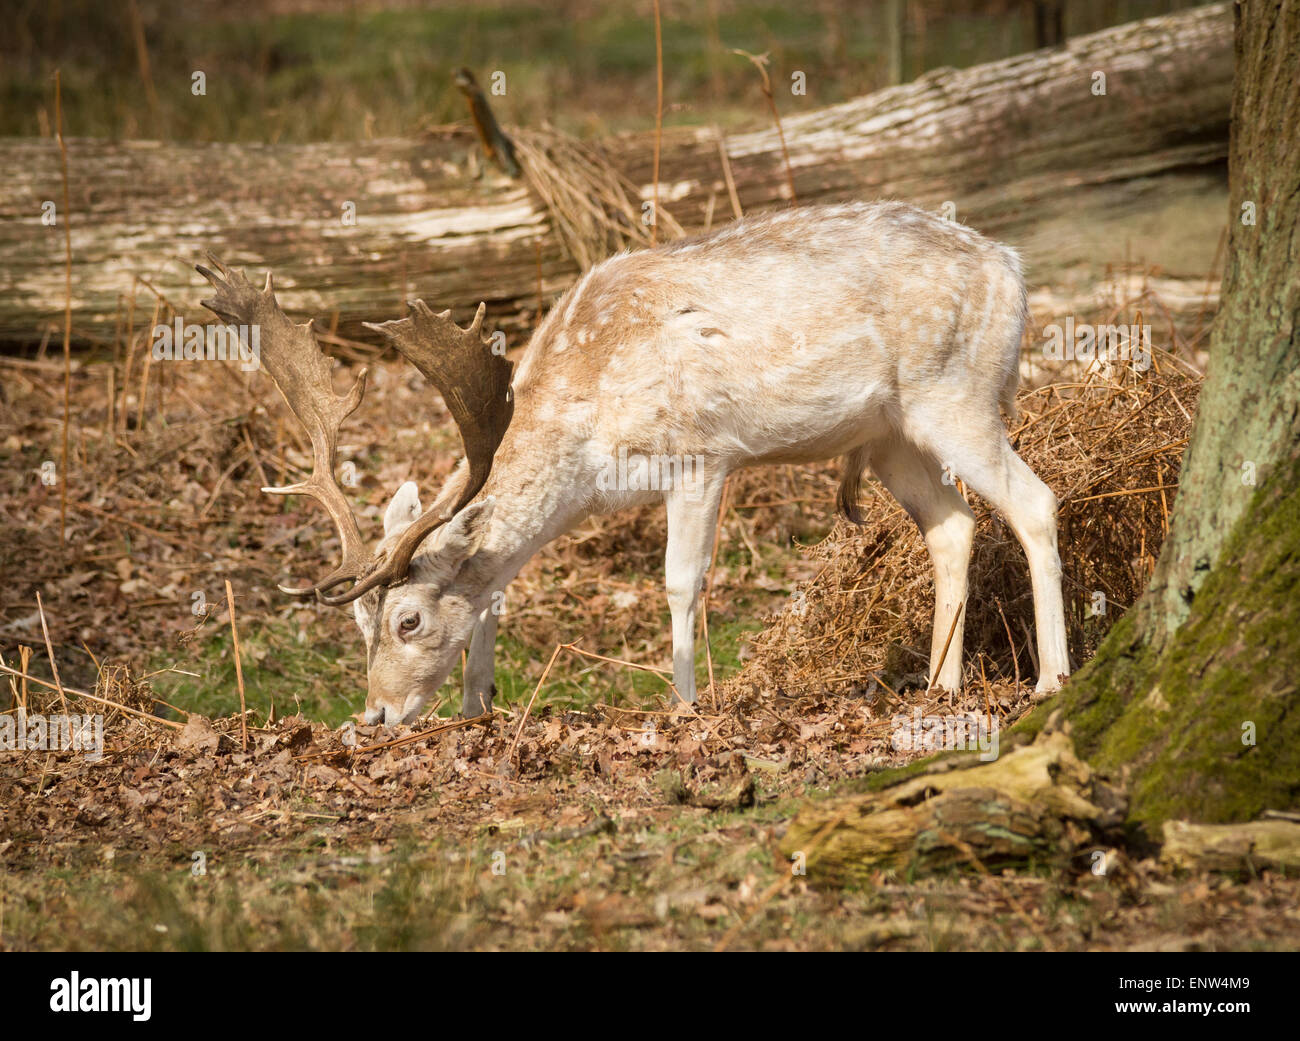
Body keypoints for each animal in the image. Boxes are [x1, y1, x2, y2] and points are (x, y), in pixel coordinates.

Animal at [197, 201, 1070, 726]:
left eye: (407, 619)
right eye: (359, 622)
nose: (373, 715)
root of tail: (1015, 266)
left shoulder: (702, 454)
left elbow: (680, 583)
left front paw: (684, 704)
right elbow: (498, 592)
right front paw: (480, 706)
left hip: (955, 390)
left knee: (1035, 501)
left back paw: (1051, 680)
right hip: (891, 432)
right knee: (953, 524)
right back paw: (940, 685)